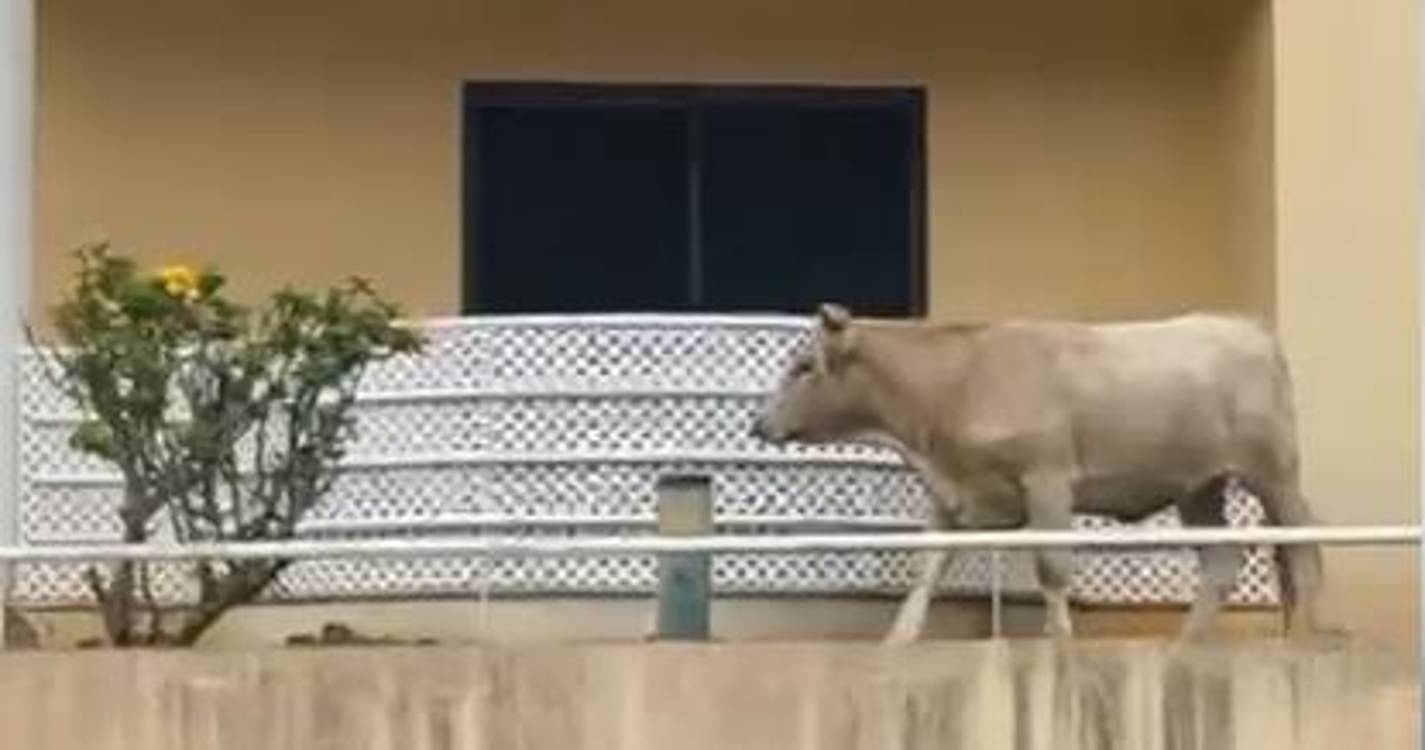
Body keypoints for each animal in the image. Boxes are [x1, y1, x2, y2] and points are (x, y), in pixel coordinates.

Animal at [750, 303, 1324, 643]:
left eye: (803, 366)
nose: (758, 423)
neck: (959, 381)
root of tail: (1246, 327)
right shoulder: (951, 495)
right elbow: (927, 567)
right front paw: (899, 639)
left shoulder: (1047, 479)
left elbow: (1052, 567)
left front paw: (1060, 640)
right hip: (1198, 487)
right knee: (1223, 562)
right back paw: (1186, 646)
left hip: (1274, 473)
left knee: (1304, 550)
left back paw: (1307, 635)